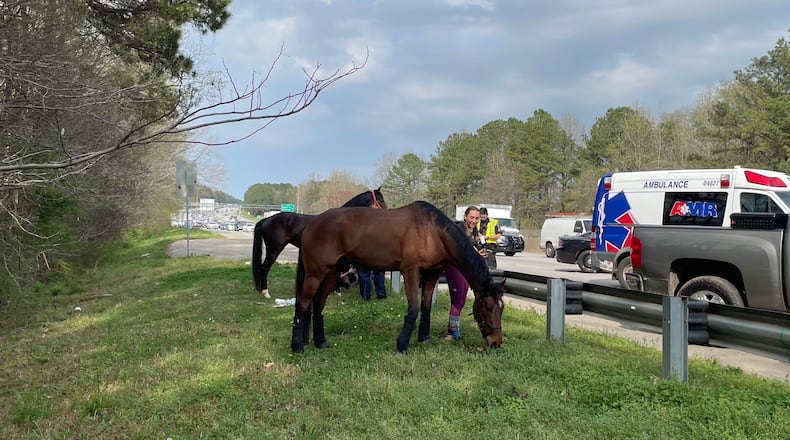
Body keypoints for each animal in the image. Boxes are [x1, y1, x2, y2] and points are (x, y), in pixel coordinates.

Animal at [251, 187, 387, 297]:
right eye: (380, 200)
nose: (387, 211)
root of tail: (267, 220)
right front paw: (337, 291)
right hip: (274, 250)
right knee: (264, 268)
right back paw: (266, 293)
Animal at [291, 201, 505, 354]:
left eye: (501, 309)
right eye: (487, 307)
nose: (496, 342)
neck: (432, 232)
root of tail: (312, 223)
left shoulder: (432, 274)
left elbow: (426, 308)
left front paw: (424, 338)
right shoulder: (410, 272)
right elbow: (413, 309)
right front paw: (402, 345)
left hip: (332, 272)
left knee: (318, 304)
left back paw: (320, 342)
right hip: (315, 273)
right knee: (303, 304)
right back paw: (297, 346)